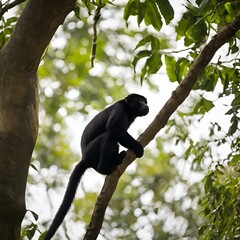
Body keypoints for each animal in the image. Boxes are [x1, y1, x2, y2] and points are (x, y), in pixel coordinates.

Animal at [43, 94, 148, 240]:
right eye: (140, 100)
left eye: (144, 101)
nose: (145, 105)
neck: (128, 111)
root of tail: (85, 158)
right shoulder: (119, 109)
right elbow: (114, 129)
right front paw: (138, 147)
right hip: (92, 151)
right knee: (108, 136)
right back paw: (105, 168)